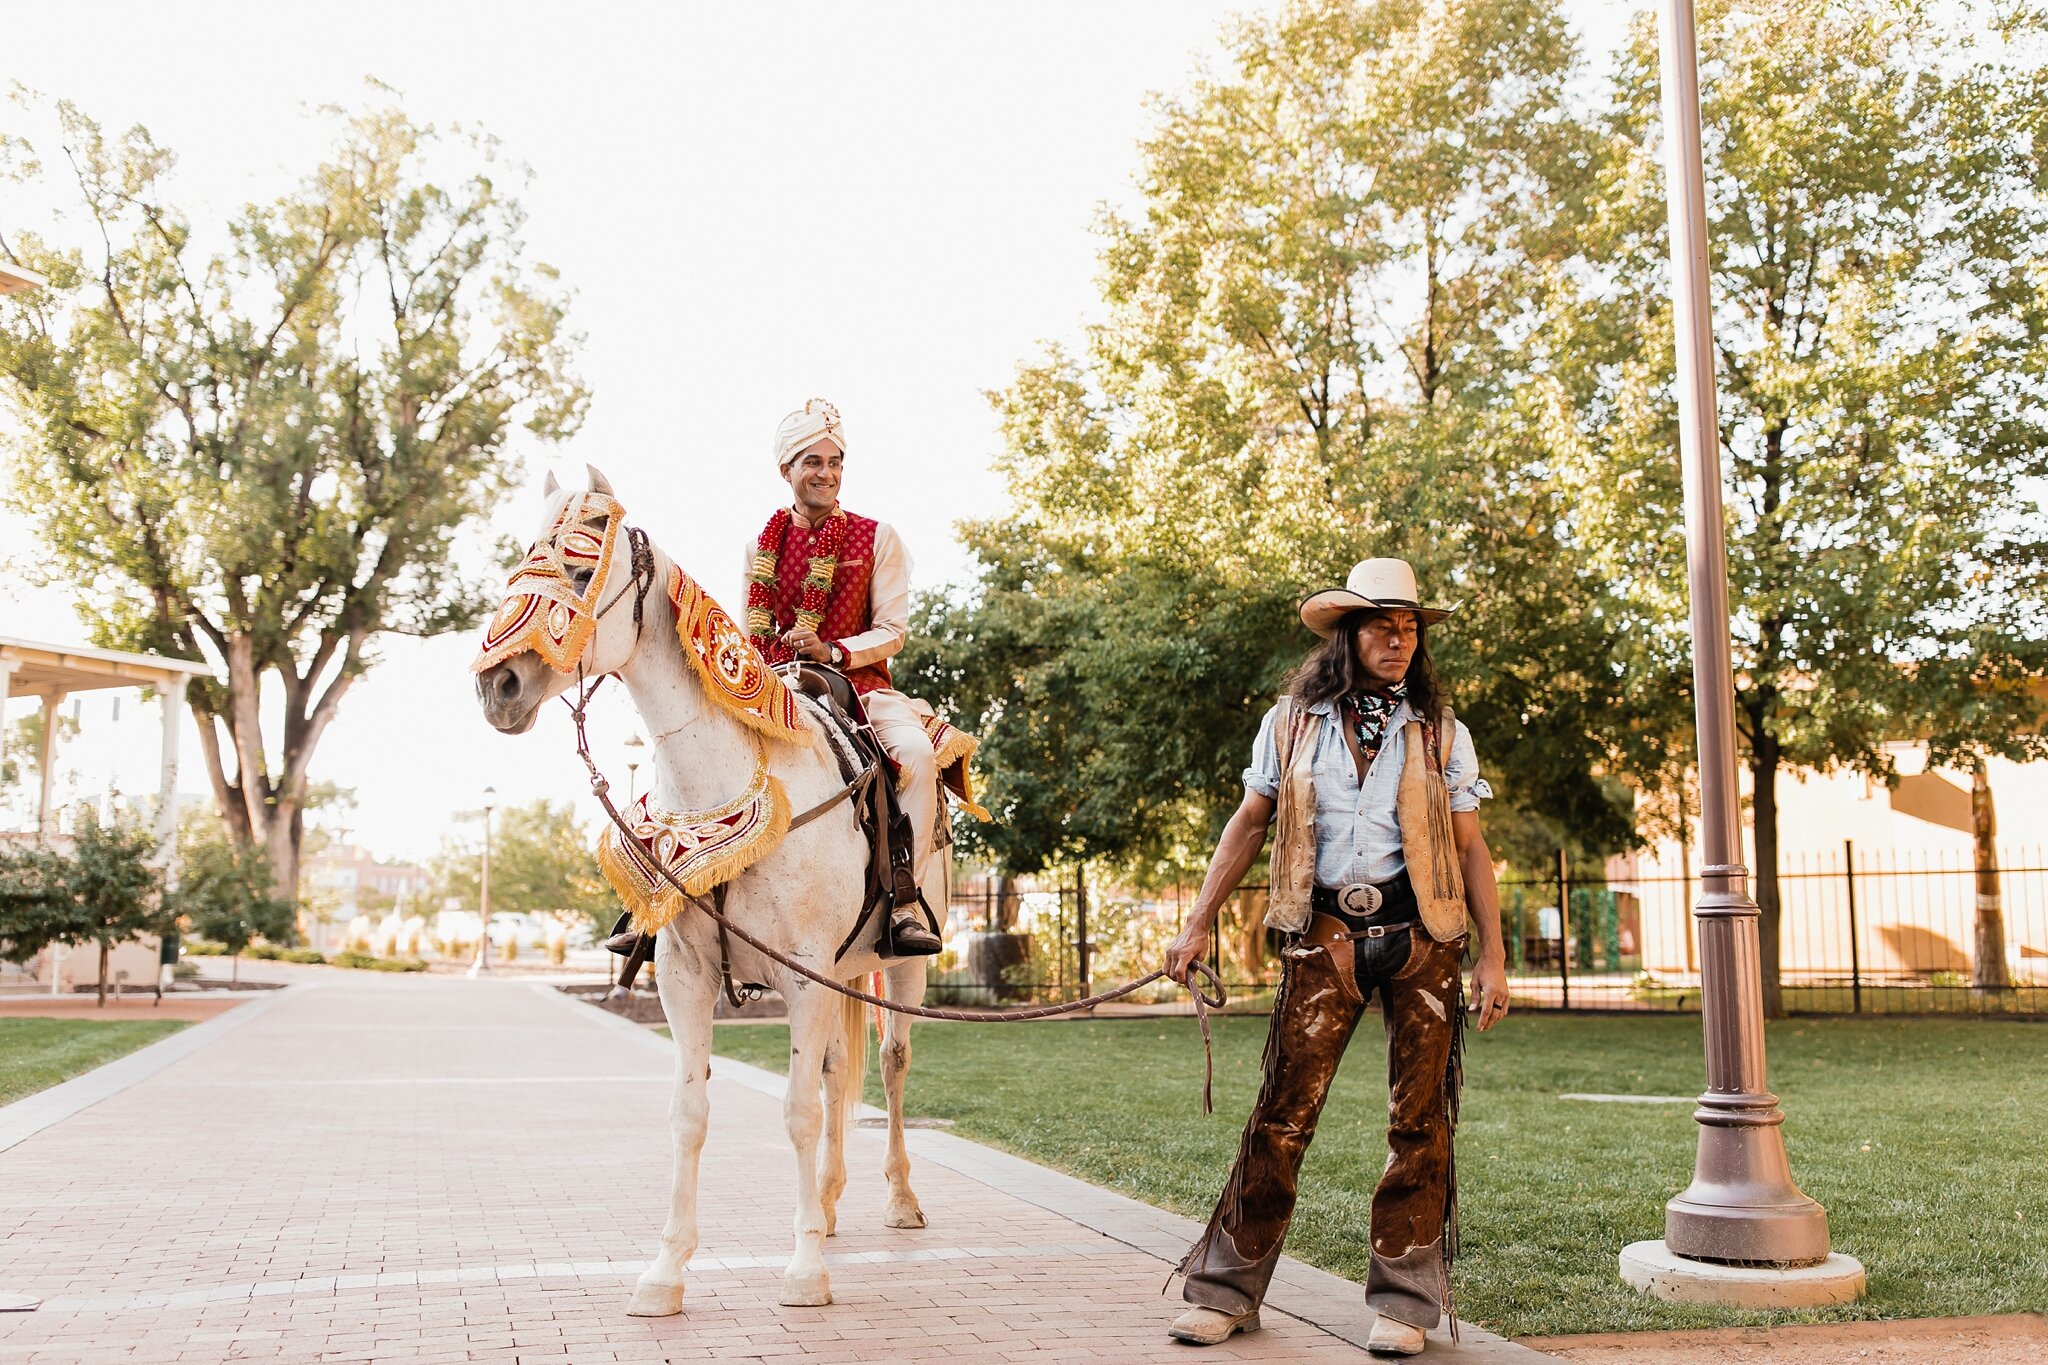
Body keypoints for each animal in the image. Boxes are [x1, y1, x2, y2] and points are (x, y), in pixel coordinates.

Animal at [477, 470, 958, 1309]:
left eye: (578, 566)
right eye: (521, 559)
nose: (496, 683)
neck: (728, 775)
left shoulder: (805, 975)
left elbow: (798, 1111)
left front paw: (803, 1271)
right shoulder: (687, 976)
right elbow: (690, 1111)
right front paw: (666, 1269)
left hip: (899, 965)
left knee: (892, 1060)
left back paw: (898, 1198)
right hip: (840, 971)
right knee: (839, 1067)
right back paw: (826, 1201)